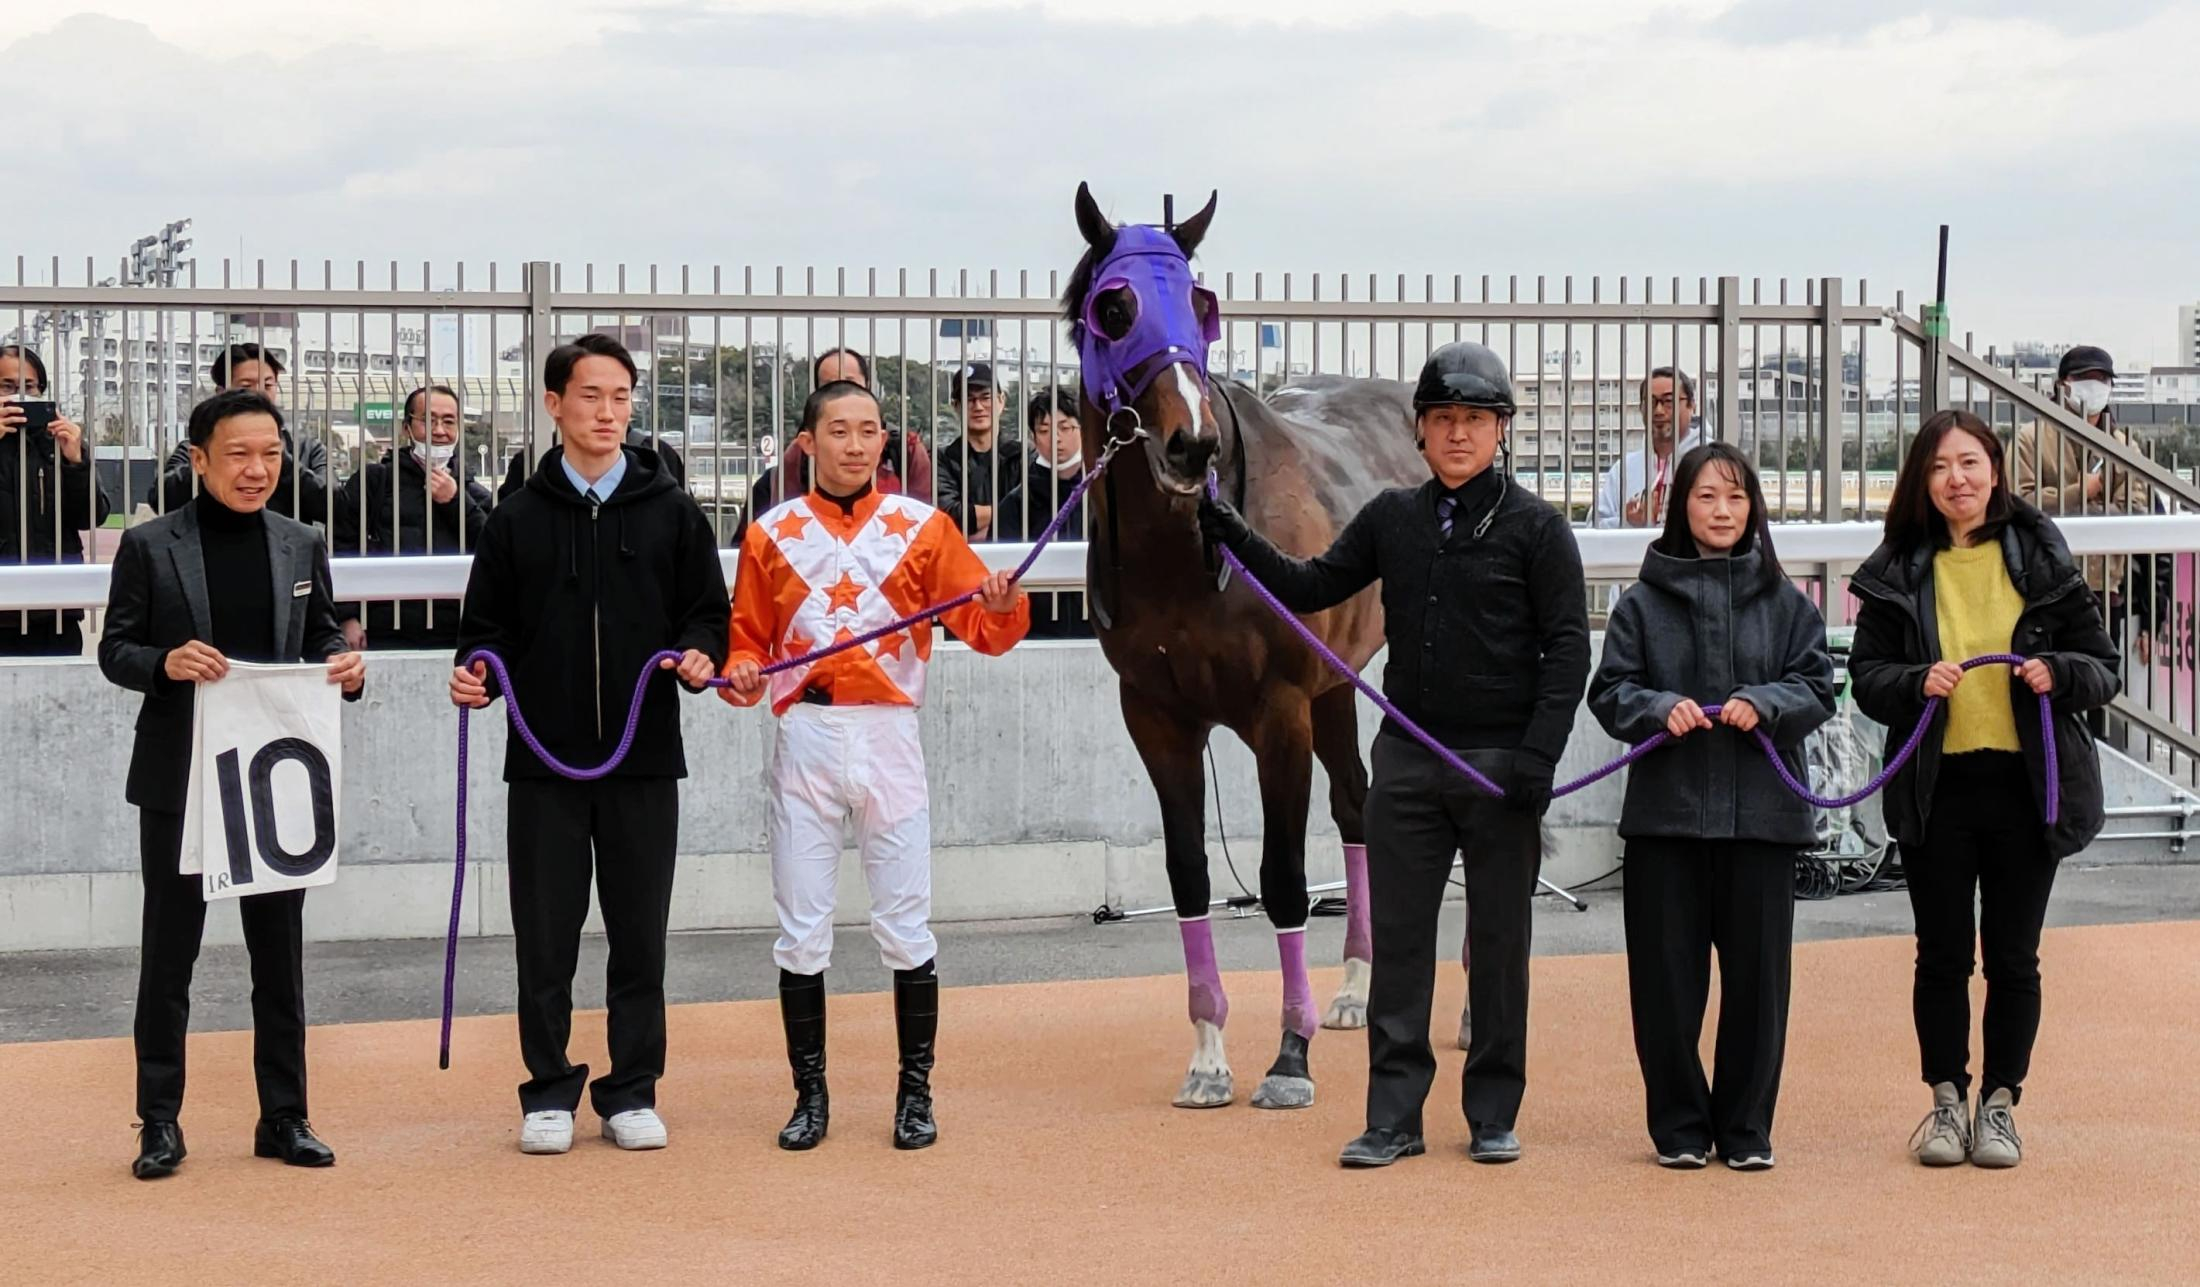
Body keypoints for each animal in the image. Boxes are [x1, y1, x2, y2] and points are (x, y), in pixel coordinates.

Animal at [1069, 183, 1443, 1104]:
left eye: (1200, 304)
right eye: (1116, 307)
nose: (1192, 442)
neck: (1190, 558)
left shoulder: (1280, 712)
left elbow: (1281, 880)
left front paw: (1289, 1053)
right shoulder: (1156, 718)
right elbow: (1190, 875)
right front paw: (1208, 1056)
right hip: (1339, 685)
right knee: (1356, 803)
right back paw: (1355, 989)